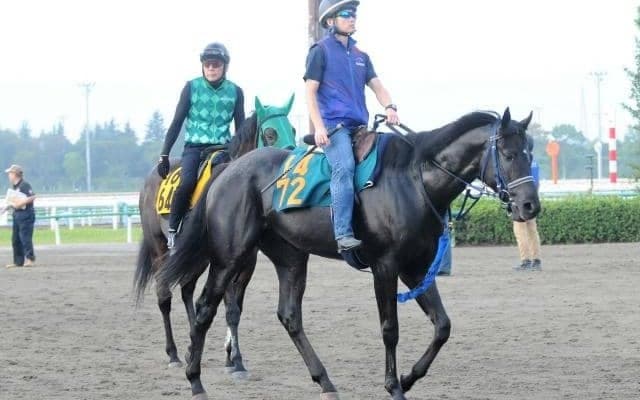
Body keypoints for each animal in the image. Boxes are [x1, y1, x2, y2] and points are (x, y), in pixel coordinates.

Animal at [133, 95, 297, 371]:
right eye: (270, 133)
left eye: (294, 129)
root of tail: (149, 179)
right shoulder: (226, 260)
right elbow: (227, 307)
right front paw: (235, 360)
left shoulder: (246, 262)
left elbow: (235, 308)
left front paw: (232, 357)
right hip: (159, 248)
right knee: (164, 296)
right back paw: (173, 354)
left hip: (197, 257)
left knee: (187, 290)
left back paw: (192, 345)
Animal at [159, 108, 541, 400]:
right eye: (508, 154)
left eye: (530, 154)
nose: (530, 205)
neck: (413, 180)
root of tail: (228, 170)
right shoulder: (386, 266)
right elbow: (390, 328)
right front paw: (394, 386)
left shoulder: (417, 268)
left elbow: (442, 326)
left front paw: (408, 378)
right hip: (231, 256)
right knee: (205, 307)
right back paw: (195, 380)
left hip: (290, 257)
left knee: (289, 315)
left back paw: (324, 380)